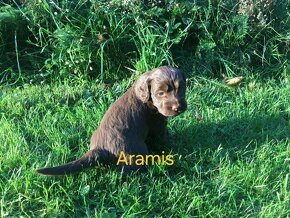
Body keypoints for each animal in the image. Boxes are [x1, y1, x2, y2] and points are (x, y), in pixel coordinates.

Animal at [35, 66, 187, 175]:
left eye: (181, 88)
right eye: (161, 93)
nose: (178, 107)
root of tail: (100, 149)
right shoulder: (157, 122)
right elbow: (163, 136)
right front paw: (175, 144)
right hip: (136, 150)